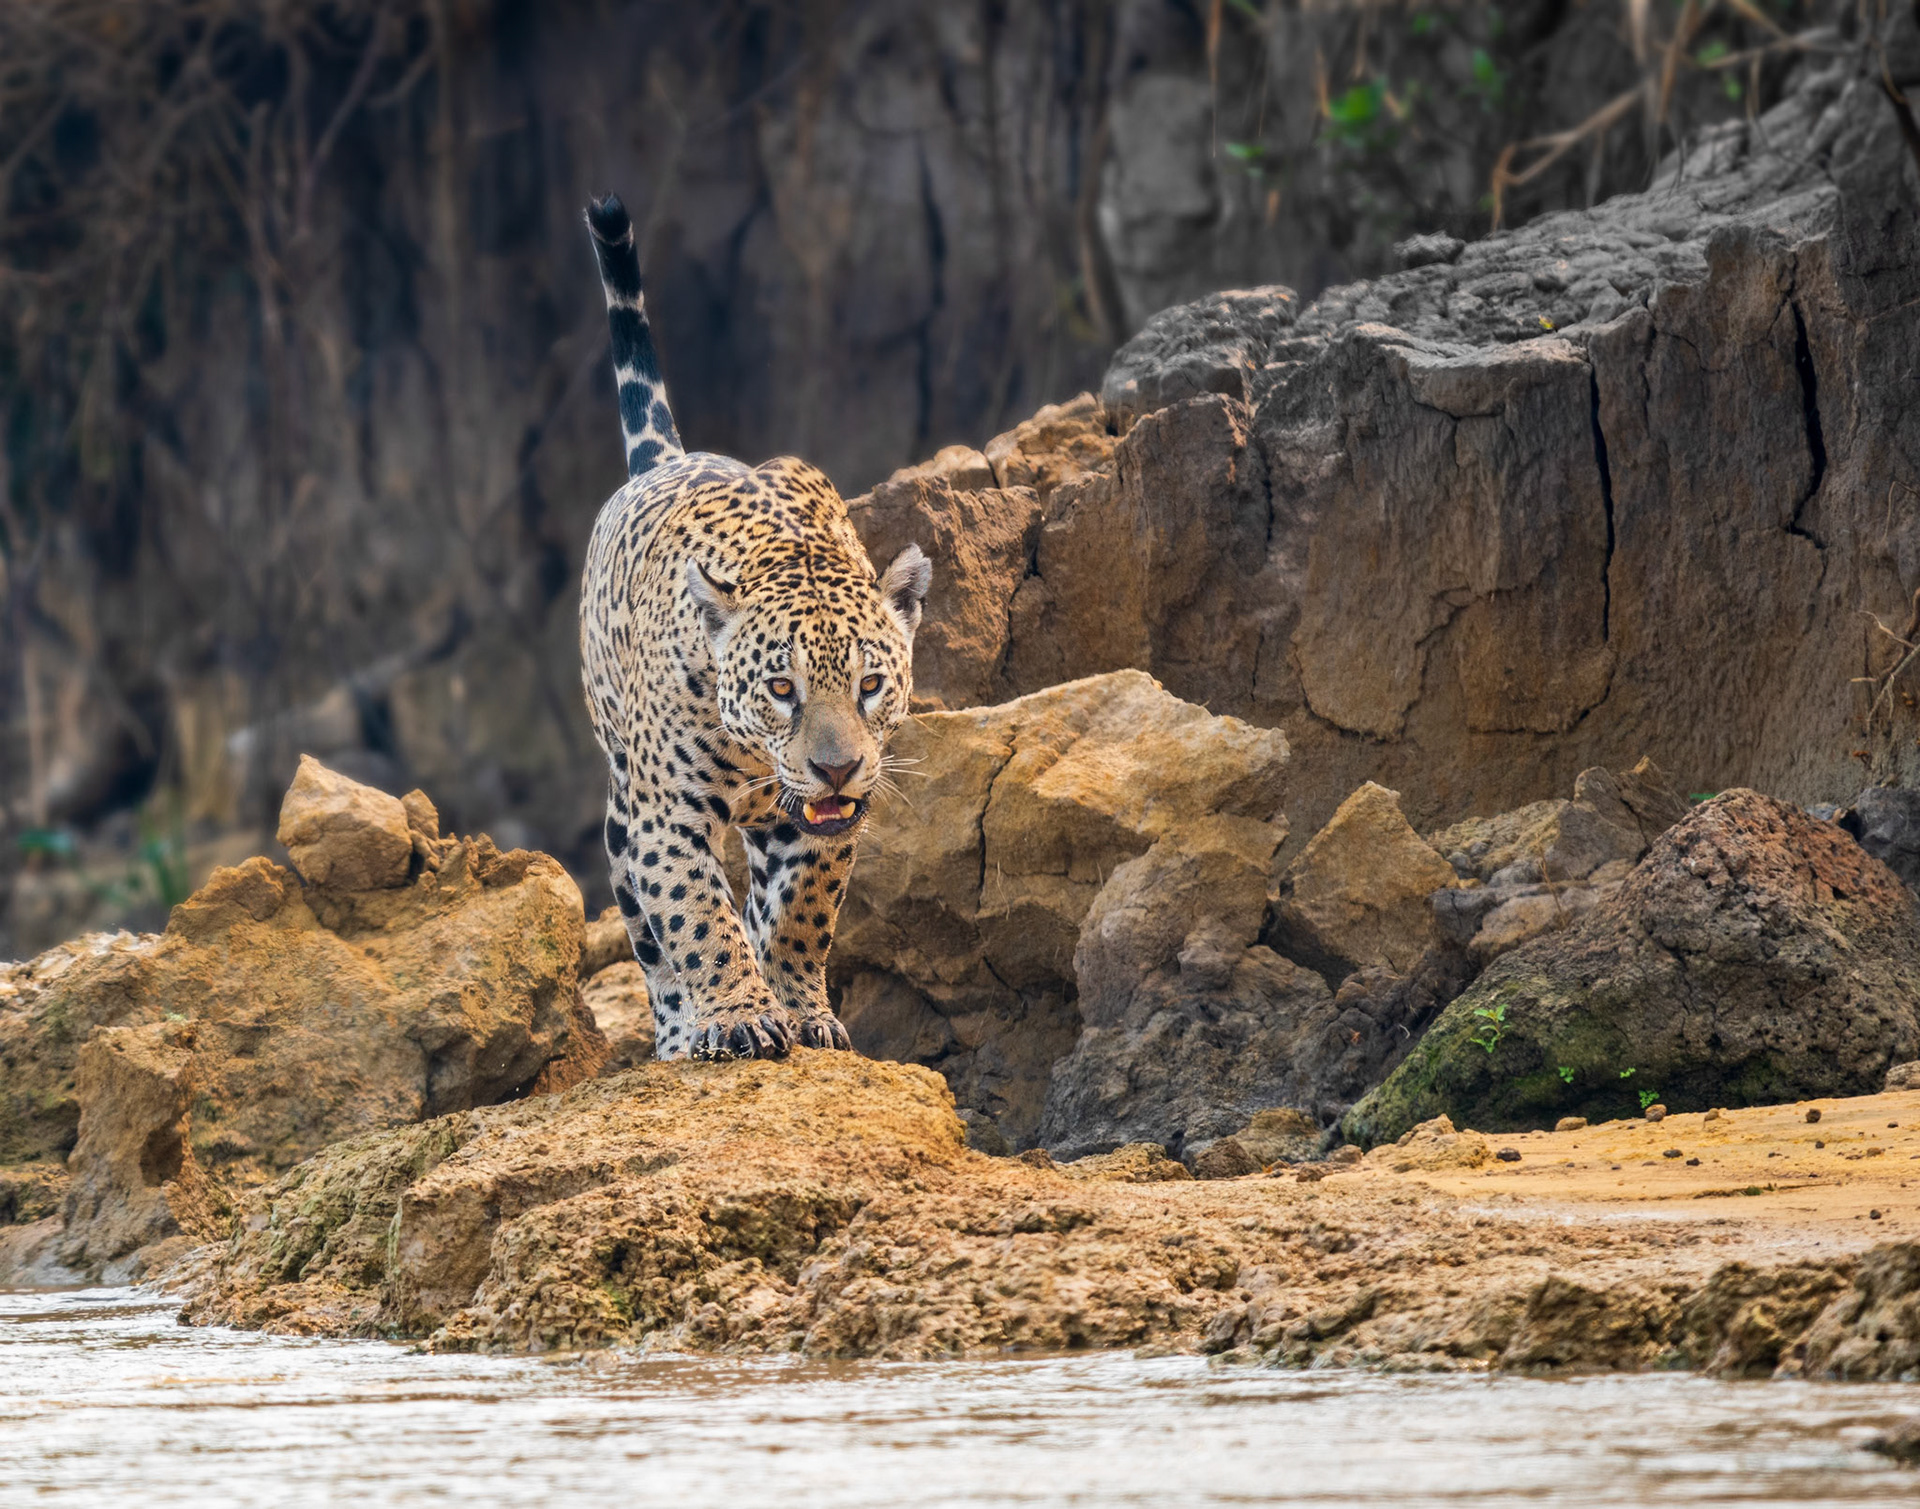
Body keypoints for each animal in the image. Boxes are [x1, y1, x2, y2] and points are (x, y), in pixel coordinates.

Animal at [578, 193, 931, 1062]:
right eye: (780, 687)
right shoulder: (667, 816)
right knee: (648, 935)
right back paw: (680, 1030)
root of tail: (667, 458)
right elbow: (697, 918)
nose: (836, 767)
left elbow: (802, 912)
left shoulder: (827, 825)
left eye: (871, 684)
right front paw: (738, 1015)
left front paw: (802, 1008)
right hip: (621, 808)